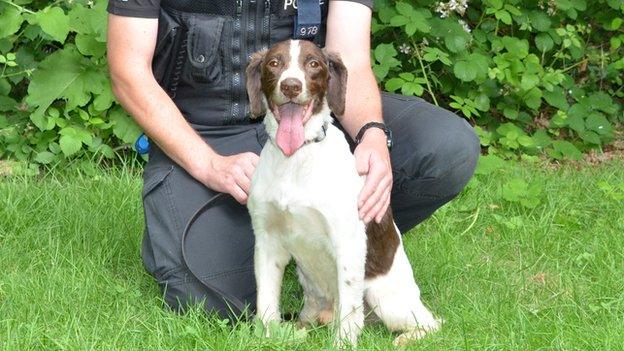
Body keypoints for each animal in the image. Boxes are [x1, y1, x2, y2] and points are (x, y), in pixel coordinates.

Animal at [244, 40, 438, 348]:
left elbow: (349, 311)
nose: (291, 86)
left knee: (430, 322)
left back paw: (405, 339)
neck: (295, 159)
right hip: (313, 295)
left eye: (313, 64)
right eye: (274, 63)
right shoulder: (266, 240)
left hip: (385, 298)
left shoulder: (347, 242)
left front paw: (342, 344)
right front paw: (265, 339)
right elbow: (266, 303)